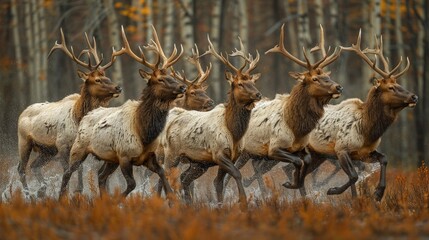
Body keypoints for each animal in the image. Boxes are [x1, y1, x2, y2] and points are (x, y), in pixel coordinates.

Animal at [17, 29, 122, 197]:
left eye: (107, 76)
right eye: (97, 80)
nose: (118, 87)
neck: (78, 117)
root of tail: (22, 112)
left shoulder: (77, 145)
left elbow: (78, 167)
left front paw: (78, 189)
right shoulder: (62, 145)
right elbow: (67, 170)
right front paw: (68, 193)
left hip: (47, 150)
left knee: (34, 166)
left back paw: (42, 189)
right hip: (24, 142)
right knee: (21, 169)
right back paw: (28, 195)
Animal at [57, 25, 185, 199]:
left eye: (171, 75)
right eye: (160, 79)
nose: (182, 86)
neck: (144, 132)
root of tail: (86, 115)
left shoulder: (149, 157)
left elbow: (162, 174)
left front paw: (171, 199)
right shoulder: (124, 156)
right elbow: (132, 184)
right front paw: (117, 200)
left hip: (110, 158)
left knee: (100, 175)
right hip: (79, 148)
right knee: (67, 173)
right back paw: (62, 197)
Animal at [160, 36, 260, 208]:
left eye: (253, 82)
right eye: (240, 83)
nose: (258, 94)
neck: (234, 132)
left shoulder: (231, 156)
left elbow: (218, 182)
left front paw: (221, 206)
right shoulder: (218, 153)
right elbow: (237, 174)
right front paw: (243, 202)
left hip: (196, 162)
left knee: (181, 178)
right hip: (171, 154)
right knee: (165, 175)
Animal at [224, 24, 342, 193]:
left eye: (327, 75)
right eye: (314, 78)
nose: (338, 87)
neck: (296, 126)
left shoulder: (300, 148)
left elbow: (304, 162)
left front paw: (296, 185)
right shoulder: (275, 147)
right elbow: (297, 163)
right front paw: (291, 184)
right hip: (245, 151)